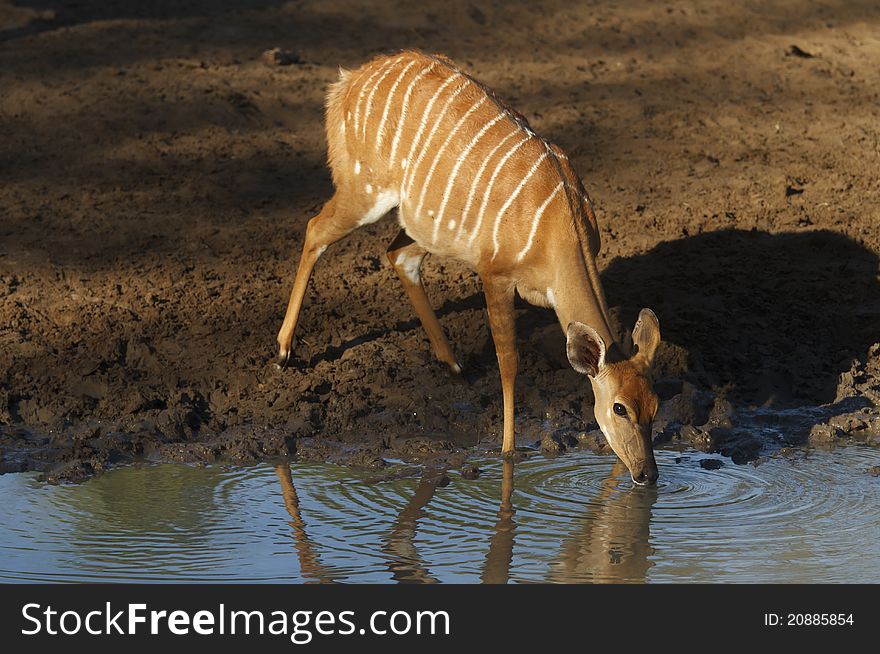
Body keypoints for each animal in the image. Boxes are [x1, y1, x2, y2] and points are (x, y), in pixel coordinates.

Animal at [278, 51, 664, 486]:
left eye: (654, 405)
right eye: (619, 408)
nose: (647, 474)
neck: (559, 231)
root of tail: (346, 83)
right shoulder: (494, 274)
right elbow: (509, 363)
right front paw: (508, 452)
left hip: (423, 223)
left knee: (398, 255)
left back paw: (453, 365)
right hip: (364, 190)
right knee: (315, 230)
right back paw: (283, 351)